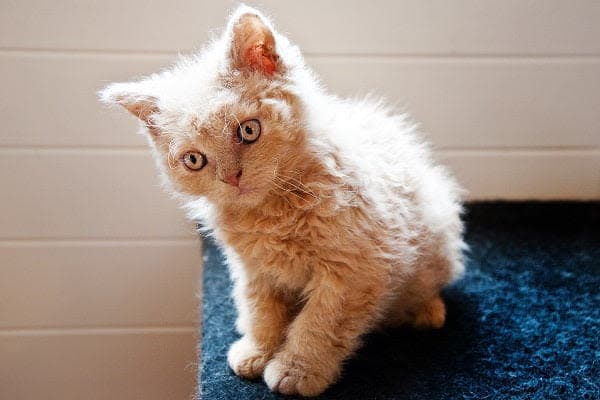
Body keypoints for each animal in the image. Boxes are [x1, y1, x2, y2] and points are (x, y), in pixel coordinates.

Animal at [98, 6, 466, 396]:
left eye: (248, 130)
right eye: (194, 160)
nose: (232, 177)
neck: (273, 211)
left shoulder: (357, 267)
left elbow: (321, 321)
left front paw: (297, 369)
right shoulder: (253, 268)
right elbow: (260, 308)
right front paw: (257, 350)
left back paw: (425, 310)